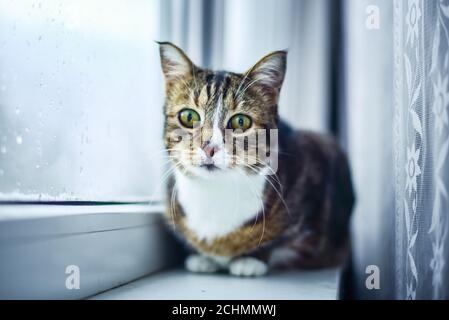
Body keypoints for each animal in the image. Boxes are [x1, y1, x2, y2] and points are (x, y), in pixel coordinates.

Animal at [158, 42, 354, 278]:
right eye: (188, 117)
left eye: (241, 122)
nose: (209, 147)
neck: (216, 194)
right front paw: (204, 258)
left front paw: (250, 260)